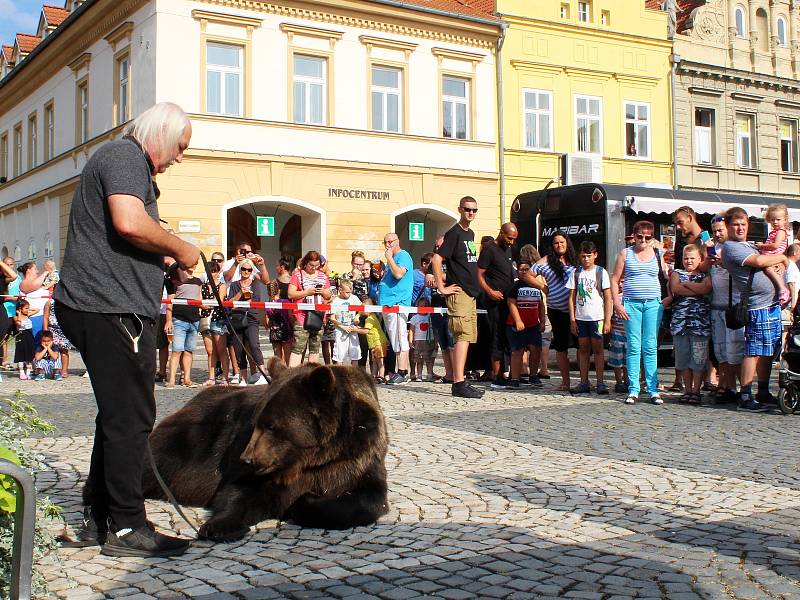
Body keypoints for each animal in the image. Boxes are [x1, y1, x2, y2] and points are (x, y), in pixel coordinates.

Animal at [141, 358, 390, 540]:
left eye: (272, 426)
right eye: (256, 422)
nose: (247, 458)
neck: (310, 459)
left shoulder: (355, 459)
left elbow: (365, 500)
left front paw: (303, 502)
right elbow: (239, 492)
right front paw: (218, 526)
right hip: (187, 442)